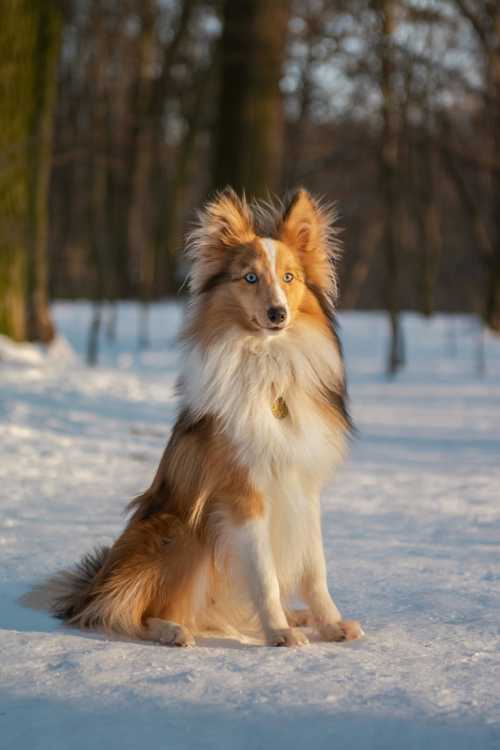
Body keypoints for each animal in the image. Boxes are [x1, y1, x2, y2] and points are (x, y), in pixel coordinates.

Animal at [27, 188, 364, 648]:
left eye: (289, 277)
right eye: (250, 278)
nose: (277, 314)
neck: (268, 365)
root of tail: (93, 586)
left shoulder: (303, 486)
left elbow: (315, 570)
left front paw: (330, 623)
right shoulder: (242, 495)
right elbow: (265, 576)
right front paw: (278, 632)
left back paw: (293, 616)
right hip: (183, 529)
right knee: (129, 611)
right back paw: (173, 630)